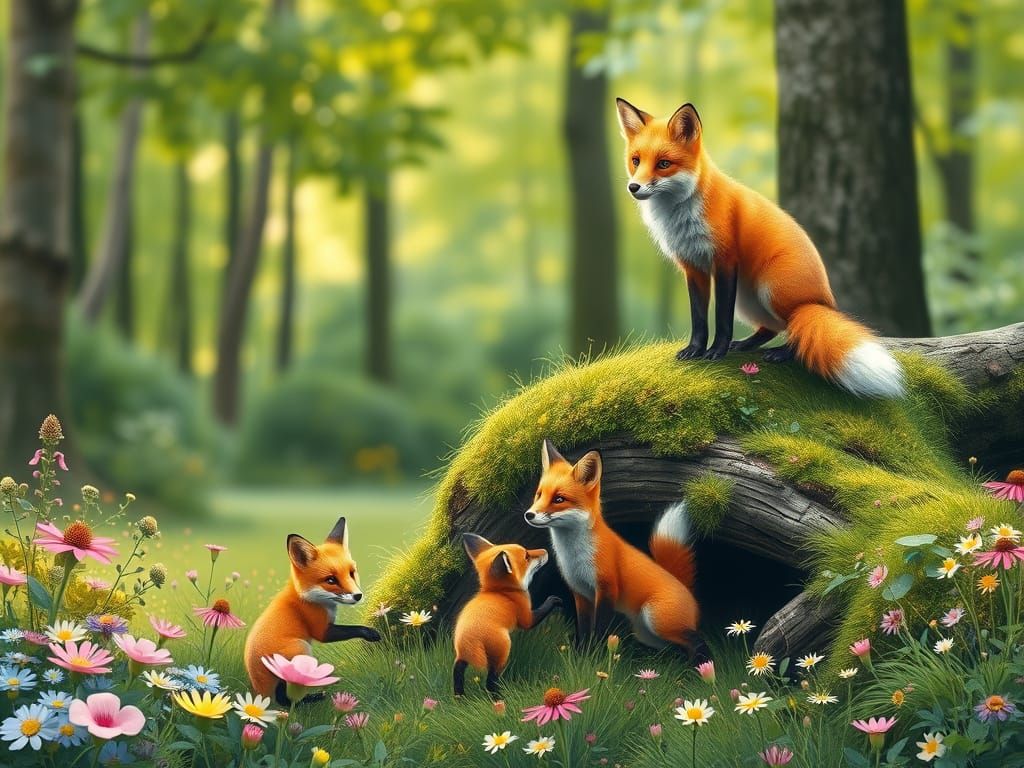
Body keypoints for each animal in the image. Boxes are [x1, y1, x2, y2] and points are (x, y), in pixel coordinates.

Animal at [244, 517, 381, 704]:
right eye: (331, 580)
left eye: (352, 573)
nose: (358, 596)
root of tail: (258, 691)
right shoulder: (321, 631)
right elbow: (354, 629)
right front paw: (371, 633)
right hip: (301, 648)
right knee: (283, 697)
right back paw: (310, 698)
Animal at [453, 533, 561, 697]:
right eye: (526, 556)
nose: (546, 550)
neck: (501, 592)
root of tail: (470, 638)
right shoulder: (526, 618)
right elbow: (539, 613)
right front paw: (553, 600)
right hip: (502, 653)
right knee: (491, 680)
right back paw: (500, 698)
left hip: (461, 657)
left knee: (457, 674)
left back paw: (460, 699)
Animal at [525, 440, 707, 659]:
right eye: (539, 495)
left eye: (559, 499)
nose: (529, 515)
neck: (574, 556)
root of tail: (686, 589)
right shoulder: (581, 592)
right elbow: (583, 629)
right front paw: (582, 656)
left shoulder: (607, 589)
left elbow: (599, 630)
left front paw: (594, 657)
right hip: (647, 633)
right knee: (673, 649)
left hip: (657, 620)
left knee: (697, 640)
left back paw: (702, 665)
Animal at [615, 97, 905, 399]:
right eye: (635, 161)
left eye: (663, 164)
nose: (634, 187)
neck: (681, 215)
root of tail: (824, 301)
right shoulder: (693, 267)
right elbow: (699, 319)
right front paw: (695, 350)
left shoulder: (725, 261)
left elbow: (722, 319)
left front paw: (716, 352)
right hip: (747, 298)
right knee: (772, 327)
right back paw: (746, 345)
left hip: (772, 288)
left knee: (796, 328)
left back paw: (782, 353)